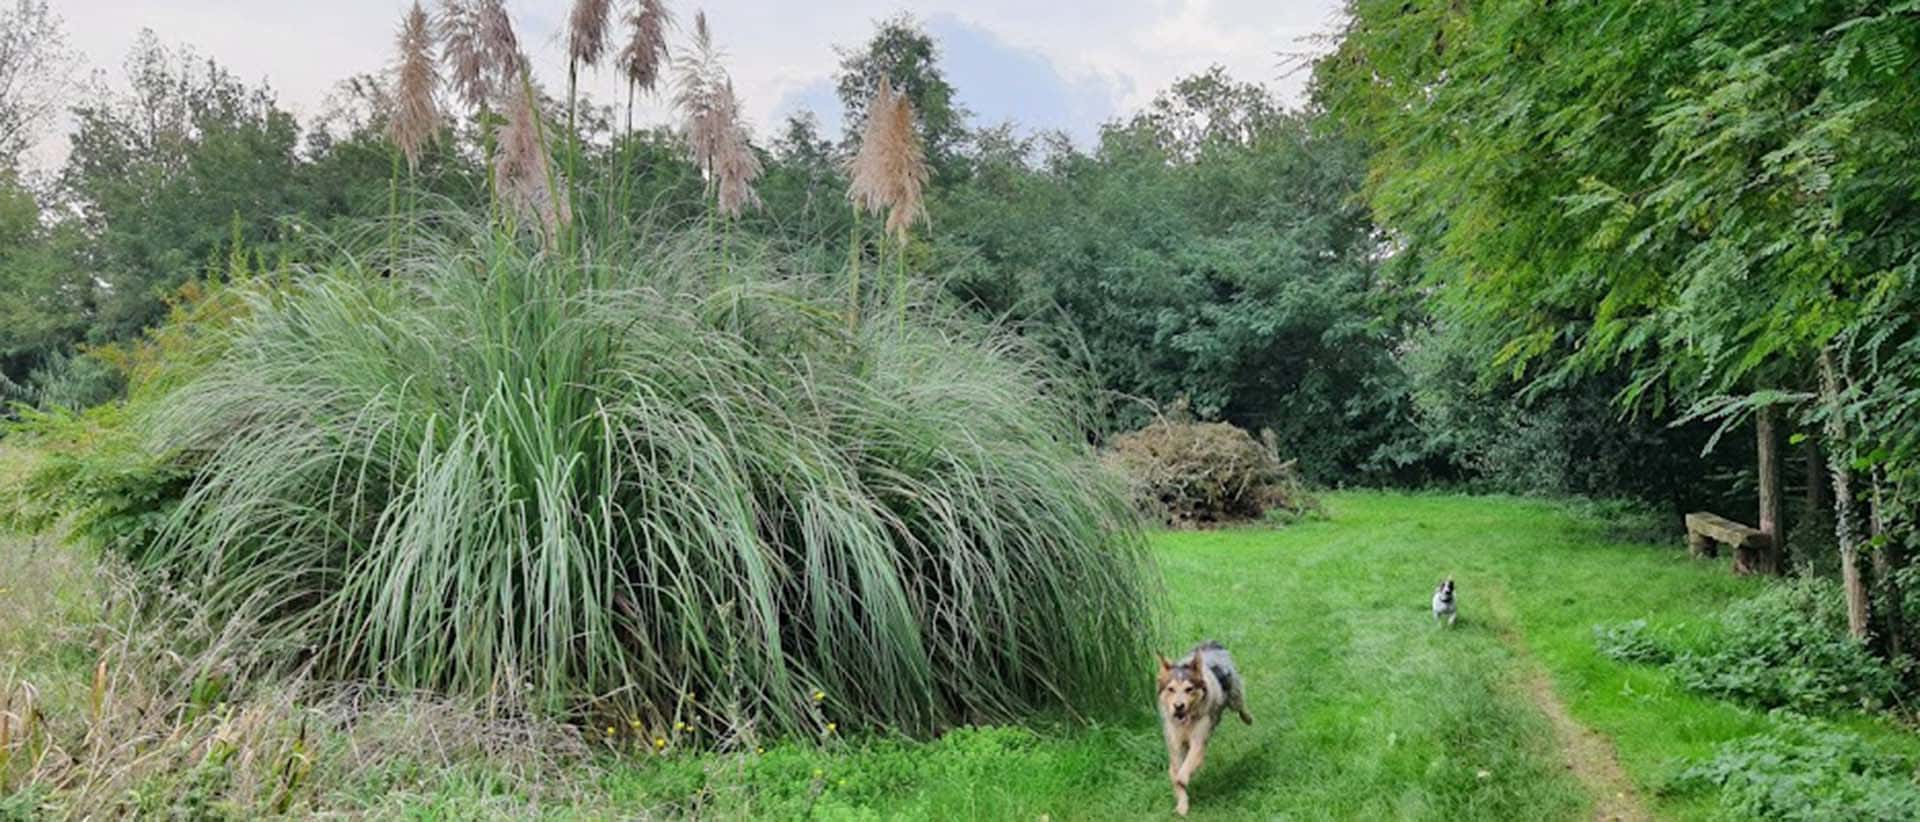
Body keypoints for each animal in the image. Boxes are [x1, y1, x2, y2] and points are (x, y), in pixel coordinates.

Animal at [1159, 641, 1251, 814]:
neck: (1187, 722)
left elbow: (1185, 767)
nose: (1178, 706)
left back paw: (1248, 718)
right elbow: (1175, 768)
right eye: (1171, 689)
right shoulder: (1175, 741)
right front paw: (1182, 806)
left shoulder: (1199, 739)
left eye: (1189, 689)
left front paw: (1181, 779)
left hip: (1233, 695)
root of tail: (1210, 644)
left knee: (1240, 704)